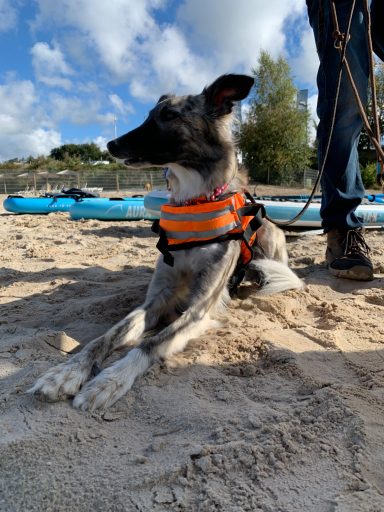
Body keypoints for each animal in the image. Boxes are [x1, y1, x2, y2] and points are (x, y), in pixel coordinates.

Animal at [28, 75, 304, 412]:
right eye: (149, 114)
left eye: (170, 115)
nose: (110, 145)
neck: (195, 203)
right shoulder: (156, 299)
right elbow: (106, 336)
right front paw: (67, 372)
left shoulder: (199, 309)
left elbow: (150, 343)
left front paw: (110, 380)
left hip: (270, 240)